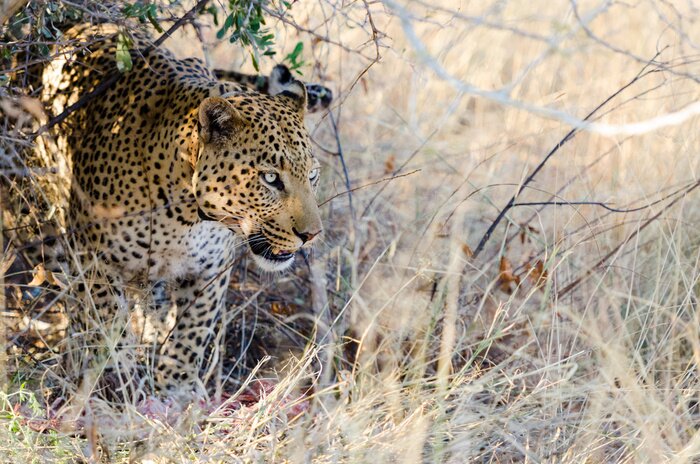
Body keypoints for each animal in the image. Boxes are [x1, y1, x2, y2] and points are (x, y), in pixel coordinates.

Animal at [27, 23, 330, 398]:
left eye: (312, 176)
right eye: (271, 178)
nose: (311, 235)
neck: (187, 217)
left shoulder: (210, 270)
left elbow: (192, 331)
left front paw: (176, 387)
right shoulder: (95, 259)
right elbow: (110, 322)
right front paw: (118, 381)